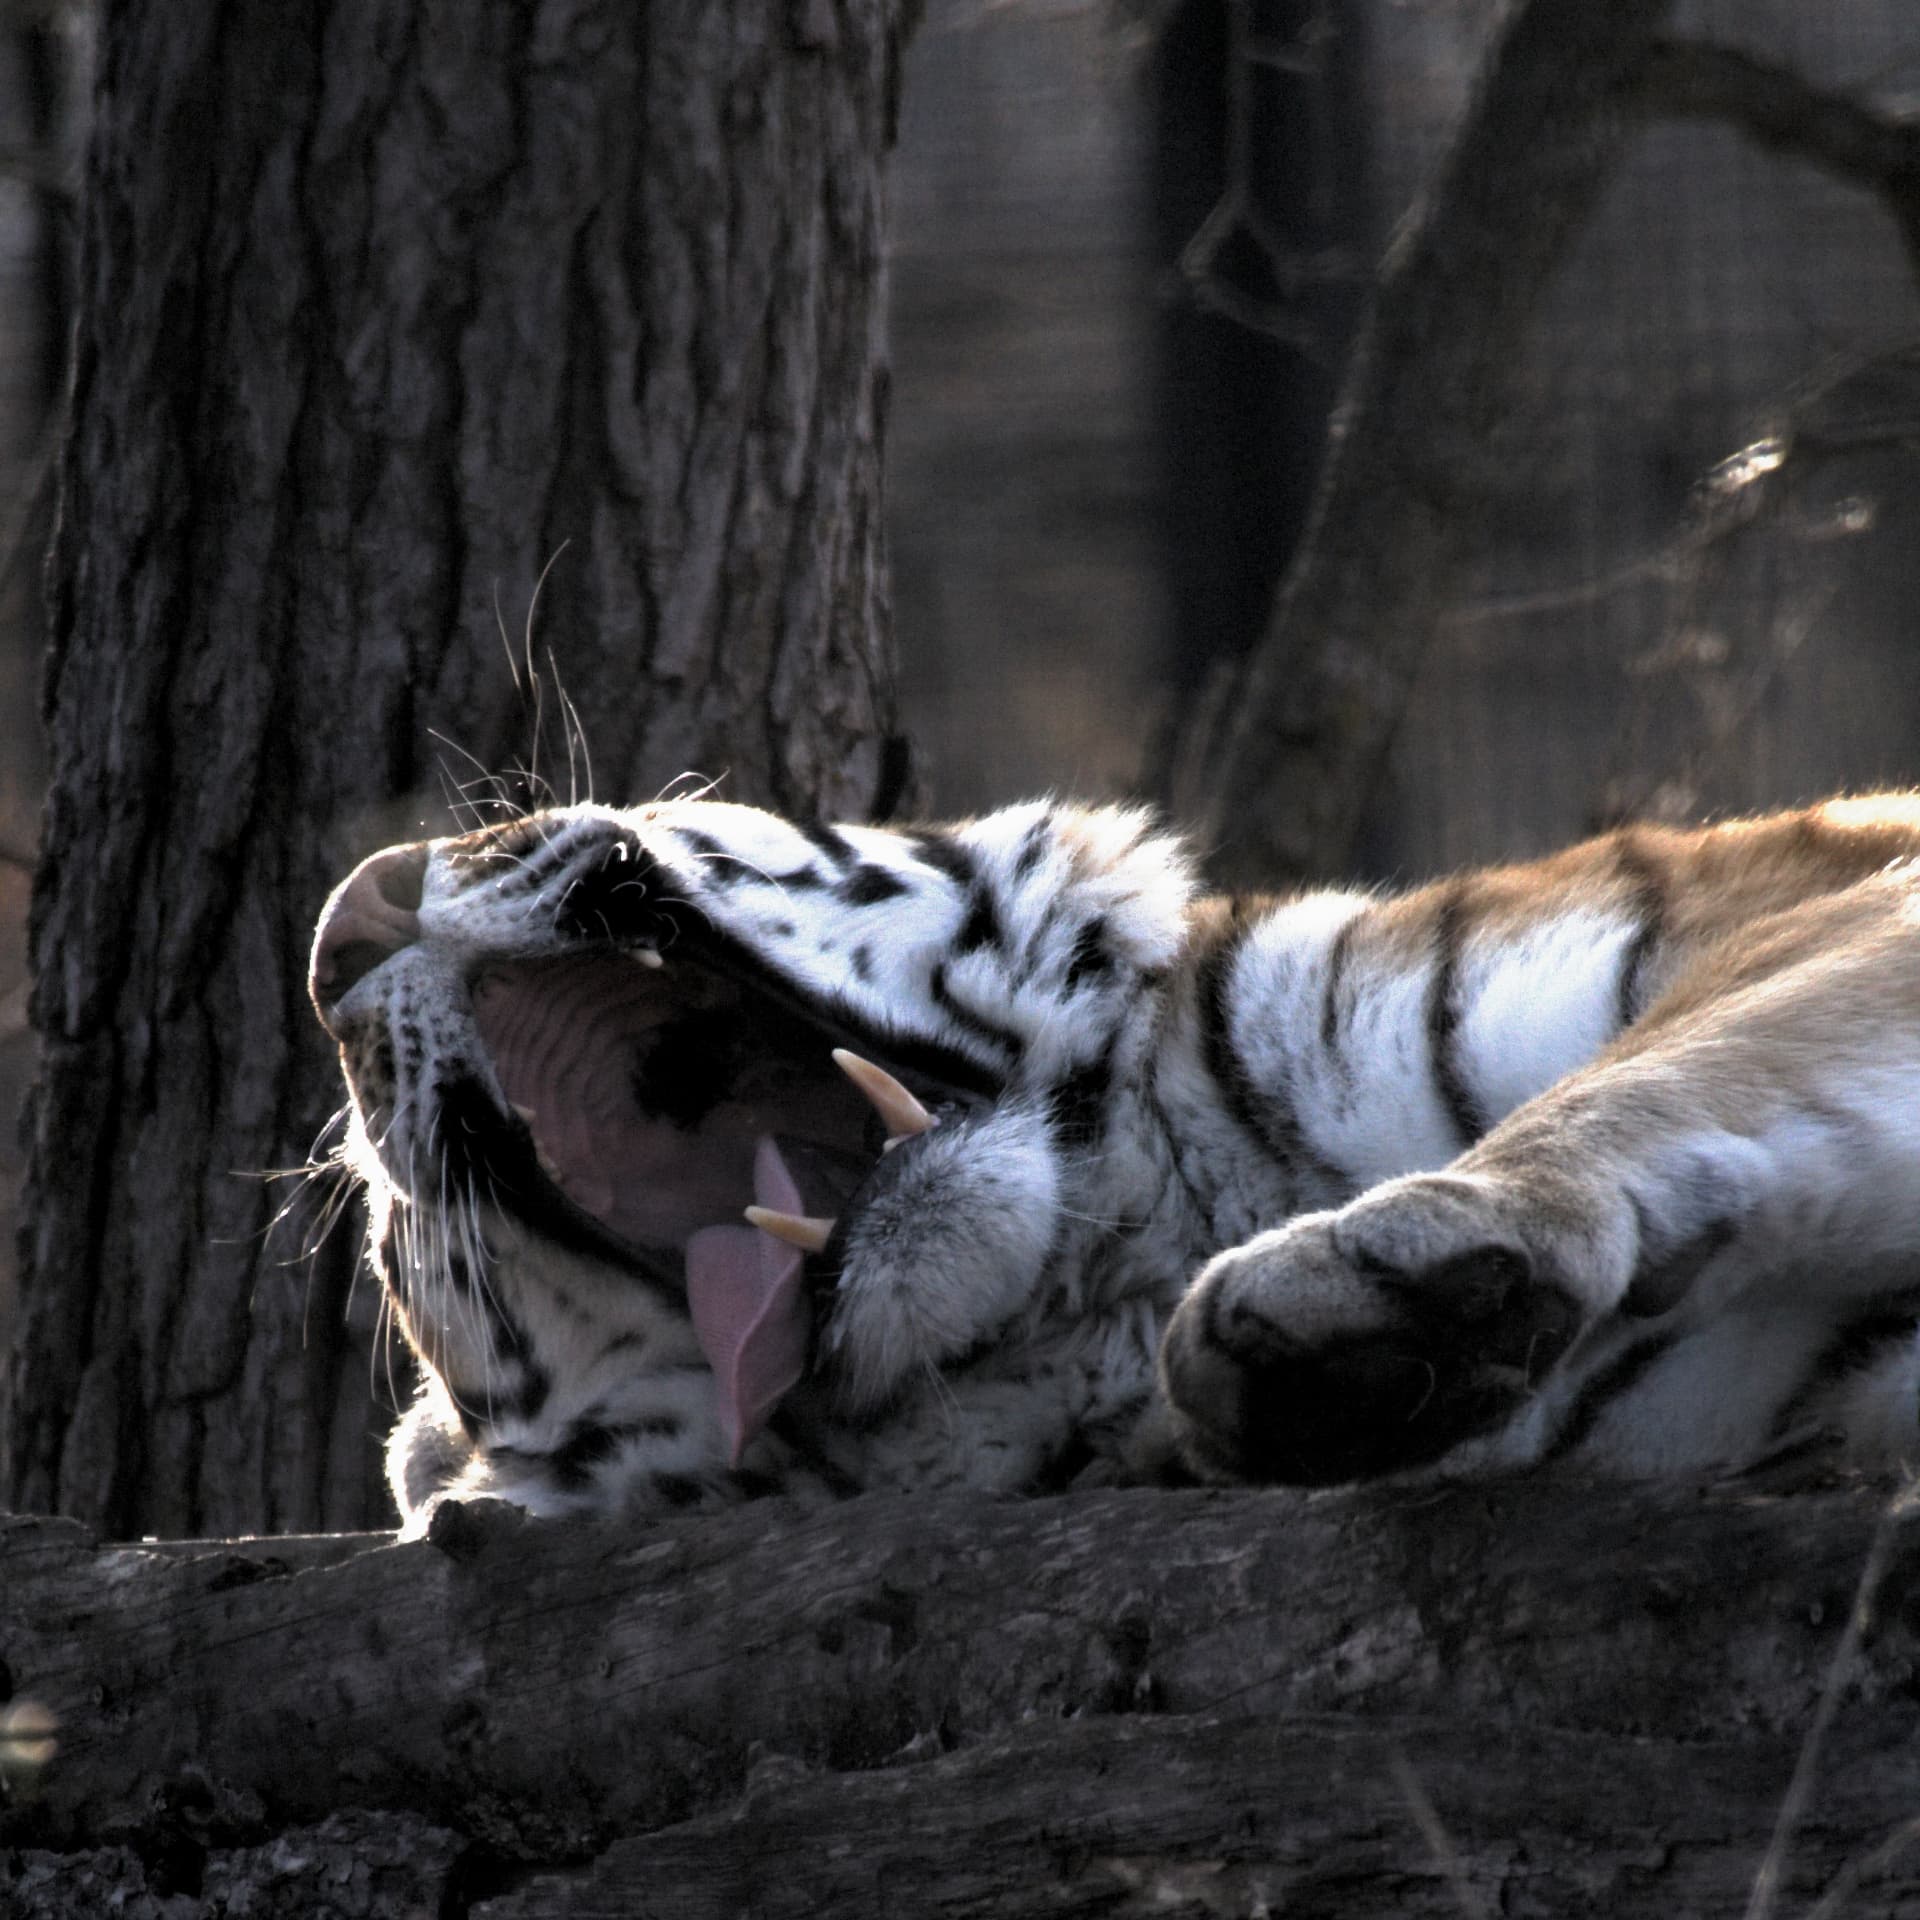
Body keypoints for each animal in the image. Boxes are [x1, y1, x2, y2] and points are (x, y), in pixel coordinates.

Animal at [308, 791, 1920, 1528]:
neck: (1115, 1261)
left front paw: (1367, 1280)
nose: (343, 929)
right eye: (403, 1255)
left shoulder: (1845, 909)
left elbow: (1678, 1059)